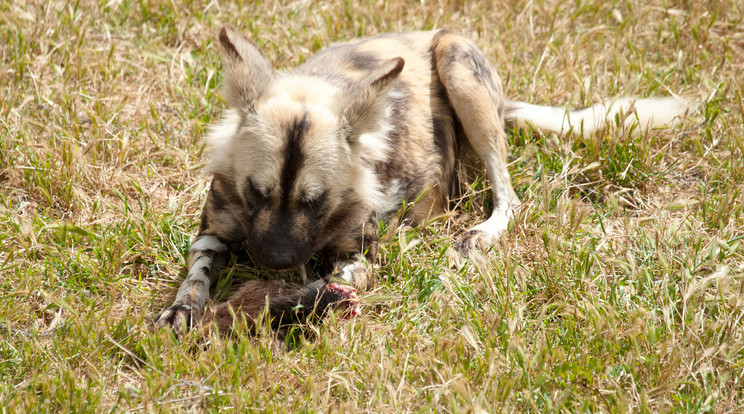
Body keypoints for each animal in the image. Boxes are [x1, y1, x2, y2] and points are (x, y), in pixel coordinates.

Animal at [153, 28, 692, 334]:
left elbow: (328, 283)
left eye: (316, 200)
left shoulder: (358, 257)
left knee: (508, 197)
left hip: (459, 67)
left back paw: (475, 235)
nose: (275, 261)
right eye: (255, 192)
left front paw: (275, 306)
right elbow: (196, 277)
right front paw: (184, 310)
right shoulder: (214, 233)